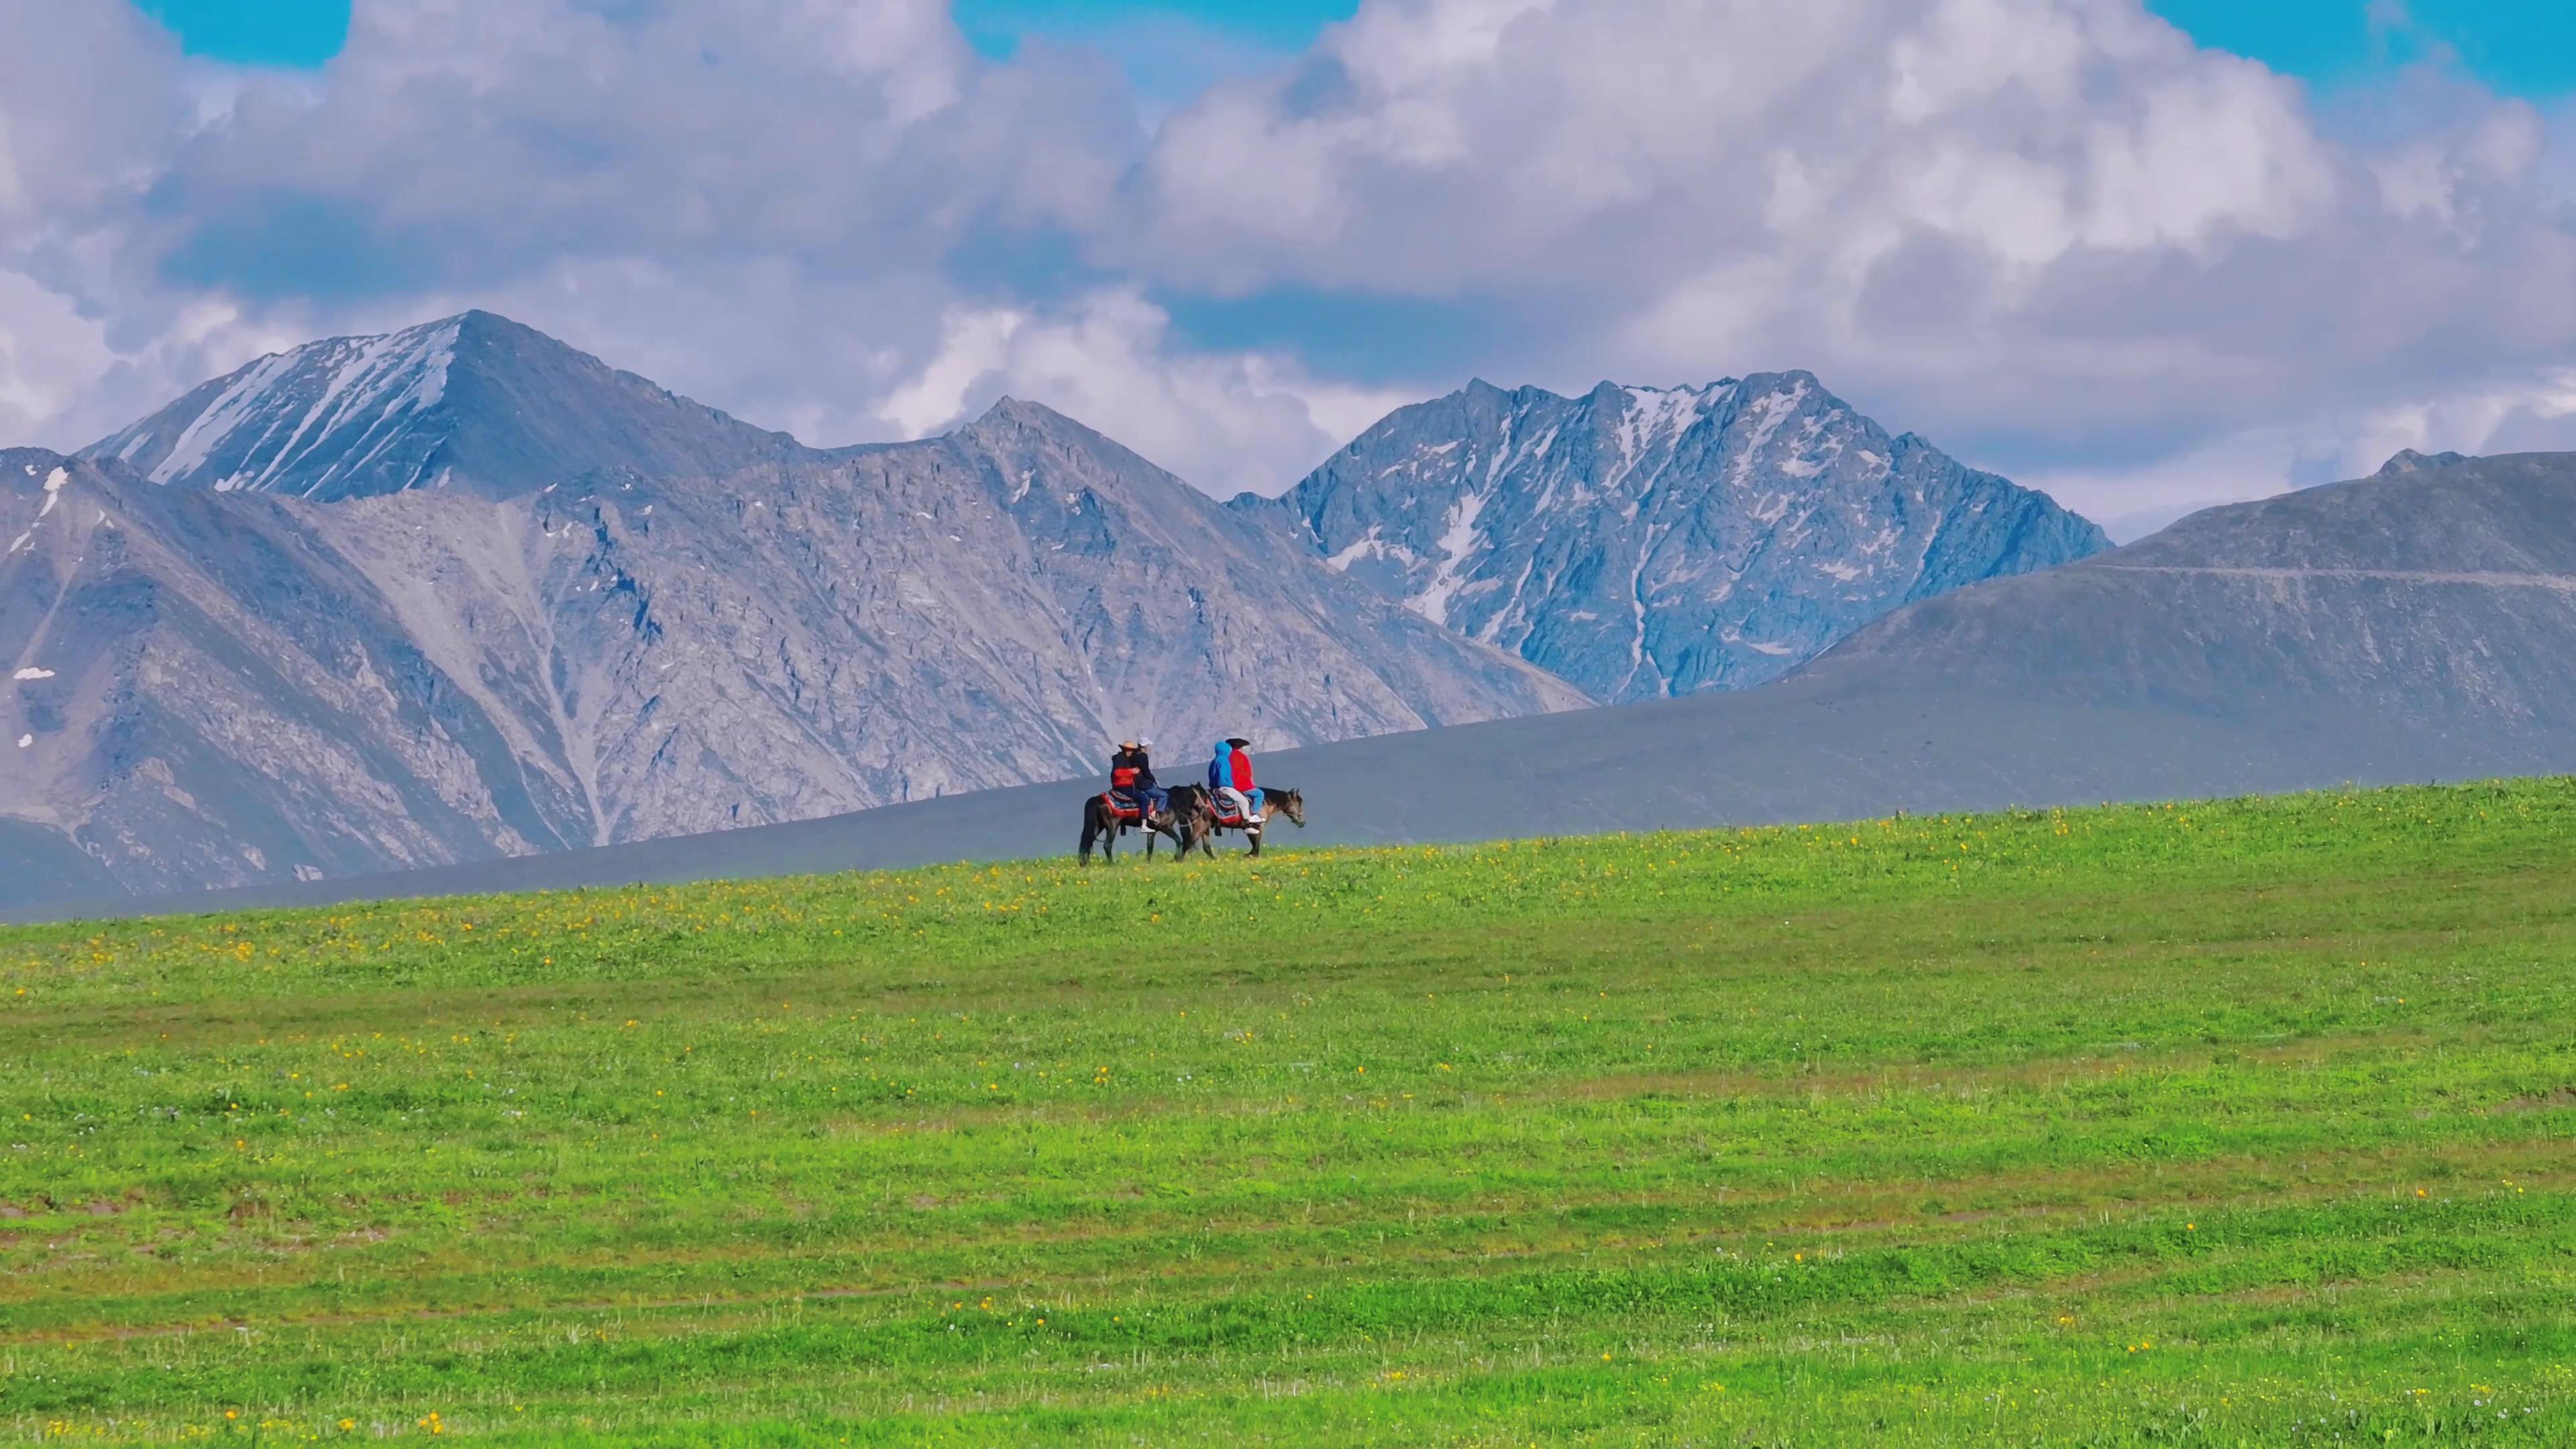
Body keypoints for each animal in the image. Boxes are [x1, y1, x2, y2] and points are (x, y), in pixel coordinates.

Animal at [1071, 784, 1179, 861]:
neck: (1171, 801)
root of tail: (1097, 799)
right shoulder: (1165, 826)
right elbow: (1178, 840)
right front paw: (1177, 857)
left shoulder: (1153, 830)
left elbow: (1150, 846)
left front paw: (1148, 863)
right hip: (1112, 827)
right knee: (1107, 845)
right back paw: (1112, 864)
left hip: (1098, 826)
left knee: (1087, 841)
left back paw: (1084, 863)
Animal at [1179, 784, 1308, 851]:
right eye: (1299, 803)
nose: (1303, 822)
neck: (1264, 803)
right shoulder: (1259, 827)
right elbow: (1256, 845)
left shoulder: (1249, 828)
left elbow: (1253, 843)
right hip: (1200, 826)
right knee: (1189, 843)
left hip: (1205, 827)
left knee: (1205, 847)